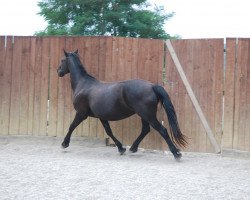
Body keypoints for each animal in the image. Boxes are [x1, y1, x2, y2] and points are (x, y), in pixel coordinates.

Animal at [57, 50, 187, 161]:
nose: (59, 71)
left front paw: (64, 144)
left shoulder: (81, 113)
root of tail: (152, 86)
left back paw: (176, 154)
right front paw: (121, 148)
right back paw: (133, 148)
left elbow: (71, 126)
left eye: (62, 60)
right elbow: (109, 132)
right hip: (144, 115)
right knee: (145, 130)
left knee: (162, 130)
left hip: (148, 115)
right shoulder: (102, 117)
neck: (83, 84)